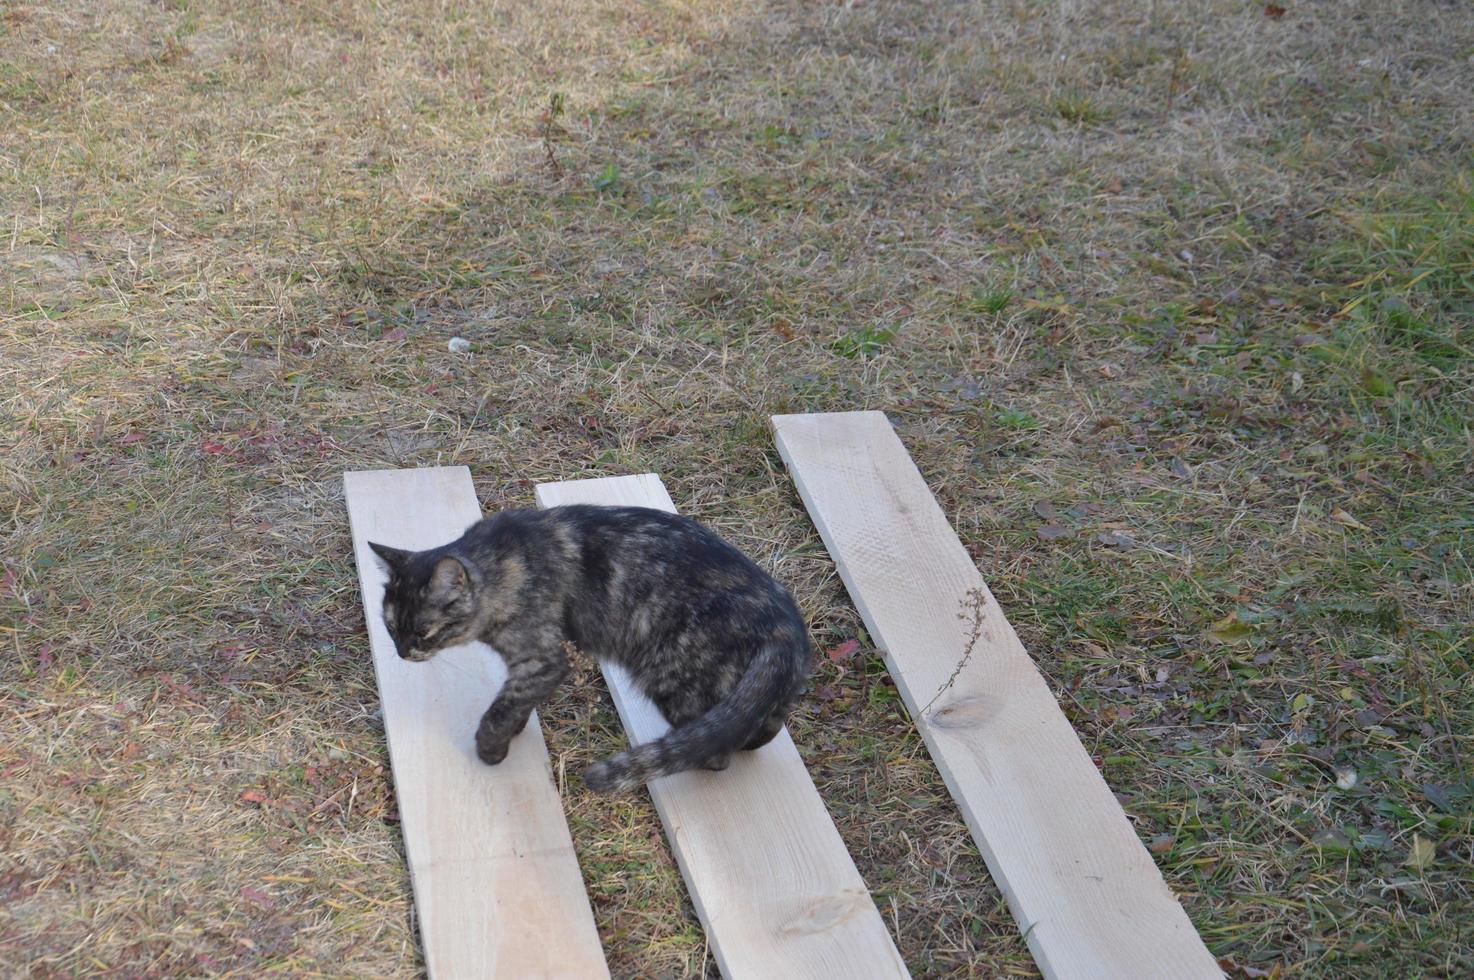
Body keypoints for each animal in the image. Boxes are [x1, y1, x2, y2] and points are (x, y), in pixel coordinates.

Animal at [364, 504, 813, 795]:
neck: (496, 569)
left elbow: (501, 708)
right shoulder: (534, 668)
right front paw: (515, 731)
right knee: (764, 726)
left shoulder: (543, 659)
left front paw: (491, 748)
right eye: (390, 628)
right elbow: (516, 702)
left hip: (670, 677)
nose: (403, 653)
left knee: (716, 750)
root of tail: (784, 623)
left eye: (423, 631)